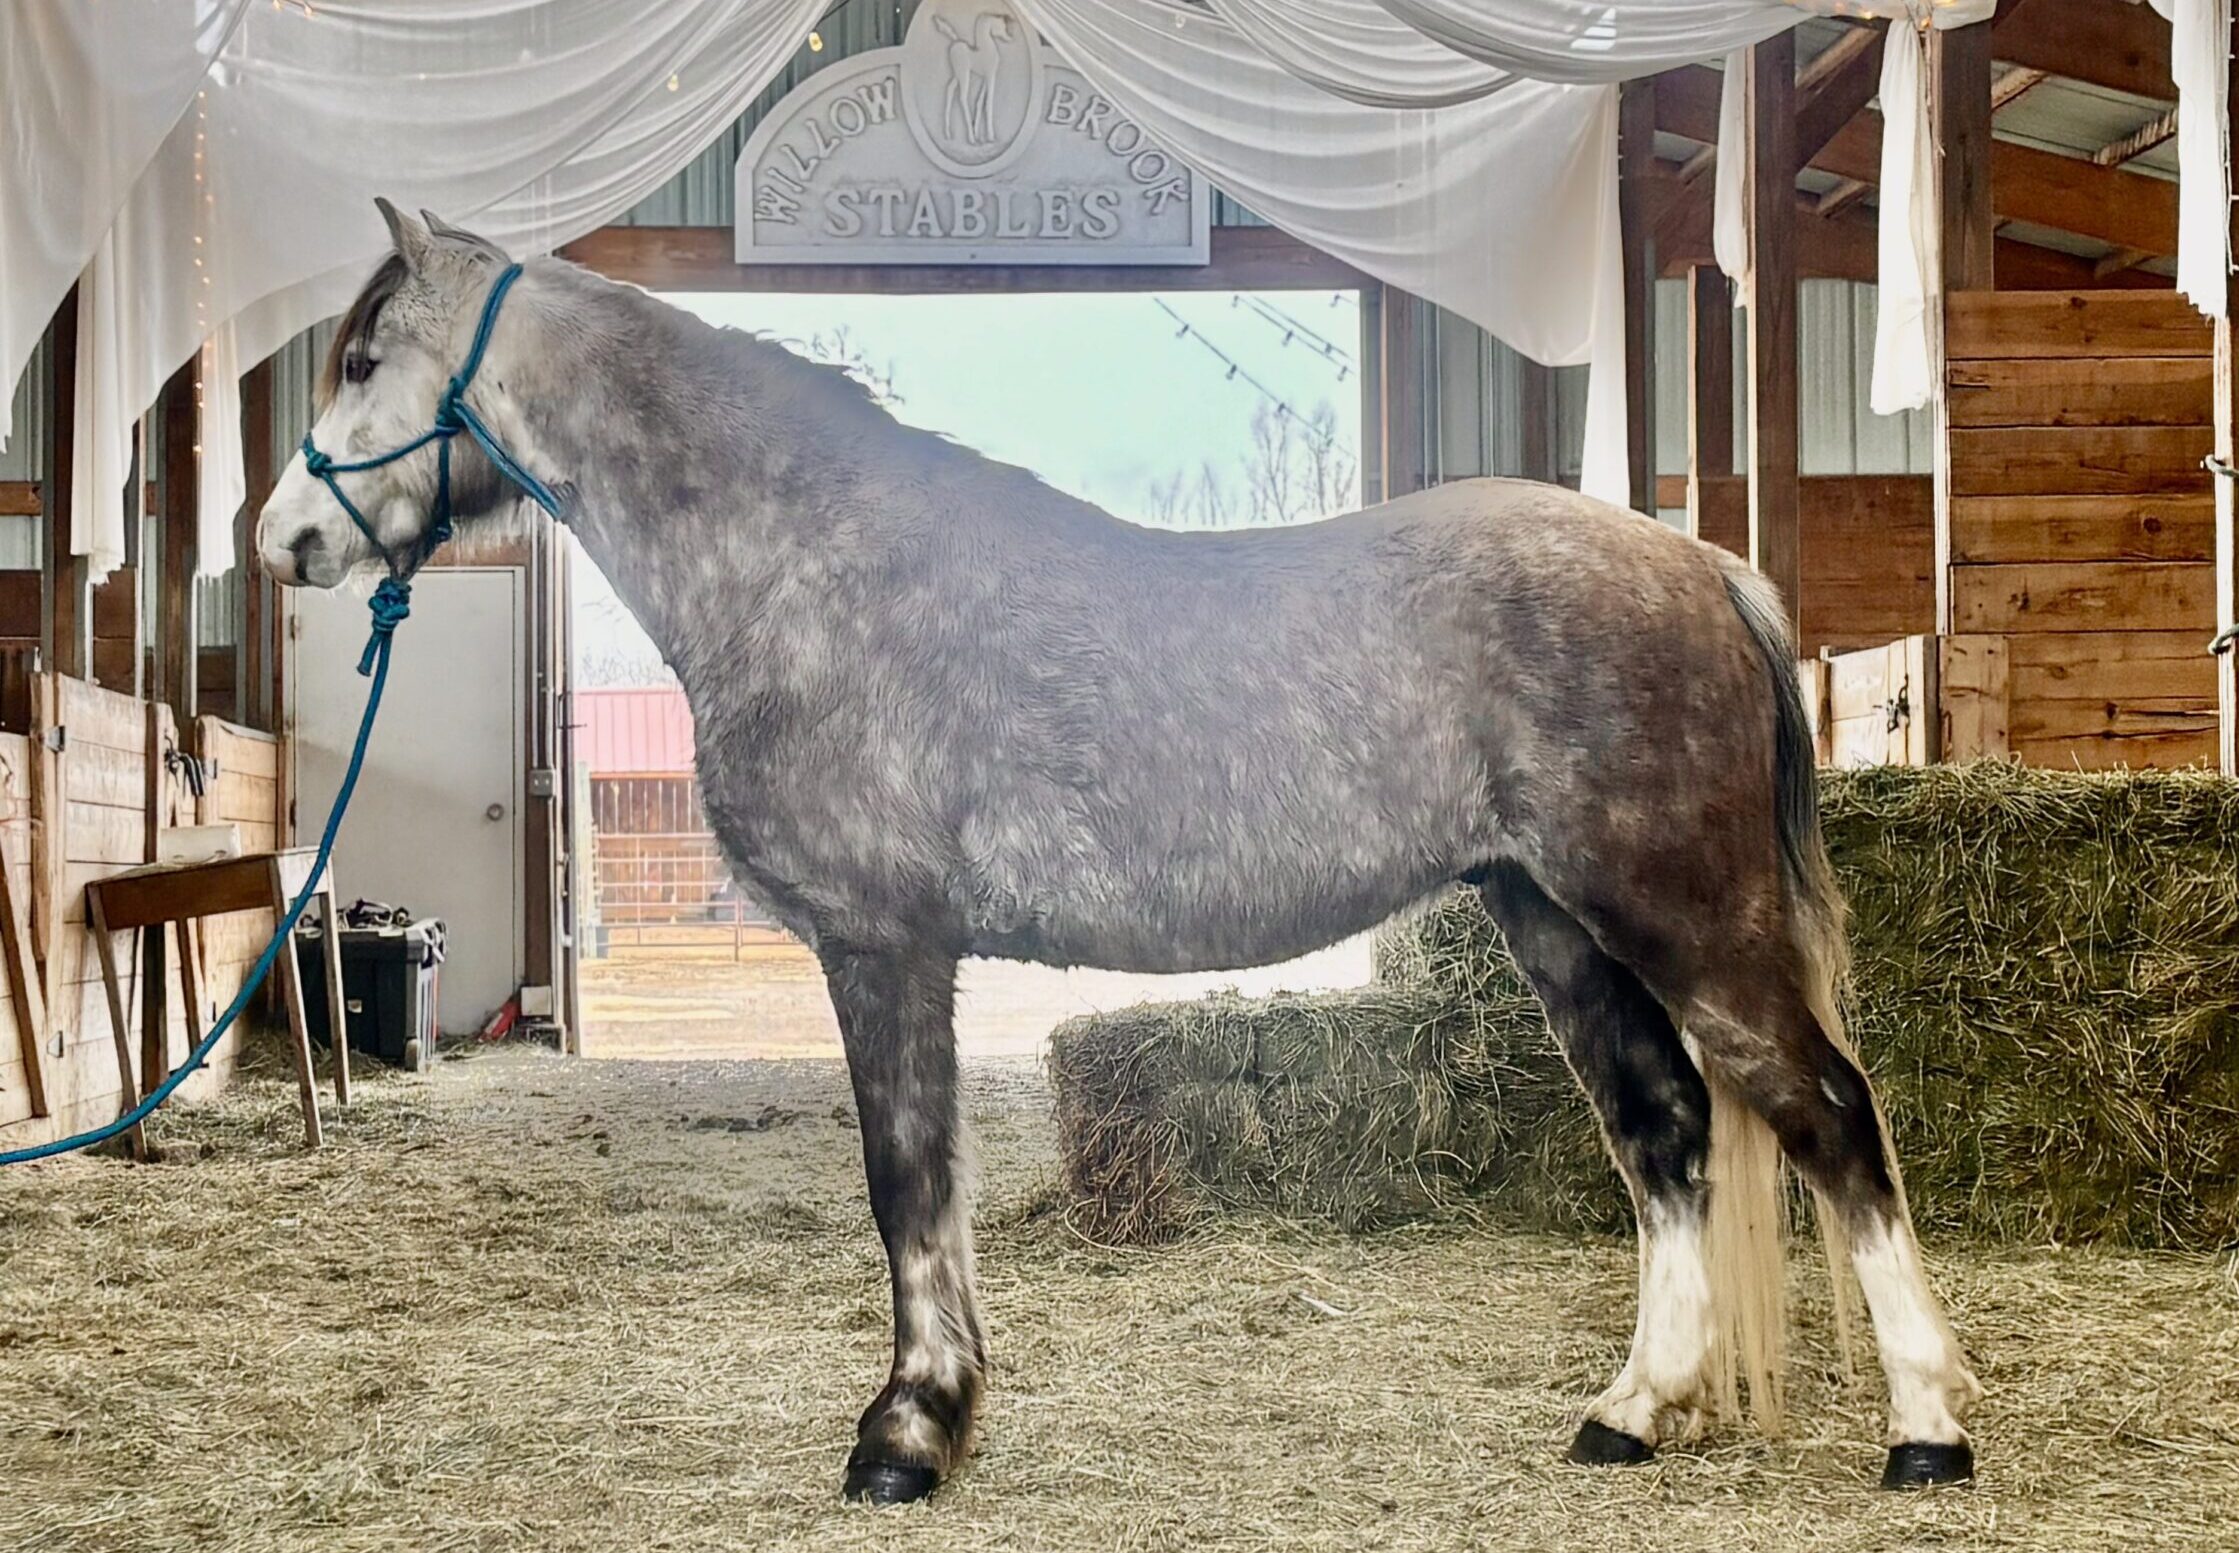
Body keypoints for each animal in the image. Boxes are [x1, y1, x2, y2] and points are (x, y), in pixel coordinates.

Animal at [256, 203, 1980, 1505]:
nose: (283, 540)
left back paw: (1925, 1430)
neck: (809, 568)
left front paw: (907, 1434)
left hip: (1682, 914)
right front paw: (940, 1414)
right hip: (1551, 921)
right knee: (1666, 1132)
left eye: (363, 360)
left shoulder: (882, 944)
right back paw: (1628, 1413)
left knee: (1828, 1116)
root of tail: (1697, 563)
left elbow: (905, 1183)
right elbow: (924, 1192)